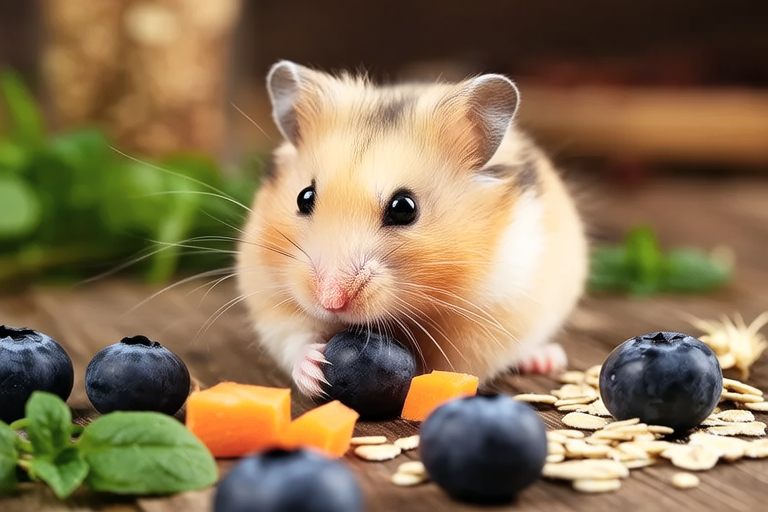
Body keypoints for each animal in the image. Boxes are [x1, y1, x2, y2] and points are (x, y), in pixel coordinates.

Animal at [236, 60, 588, 397]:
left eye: (404, 208)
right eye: (304, 197)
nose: (330, 303)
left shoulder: (494, 312)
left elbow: (452, 367)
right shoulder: (269, 294)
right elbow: (294, 338)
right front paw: (315, 370)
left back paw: (545, 358)